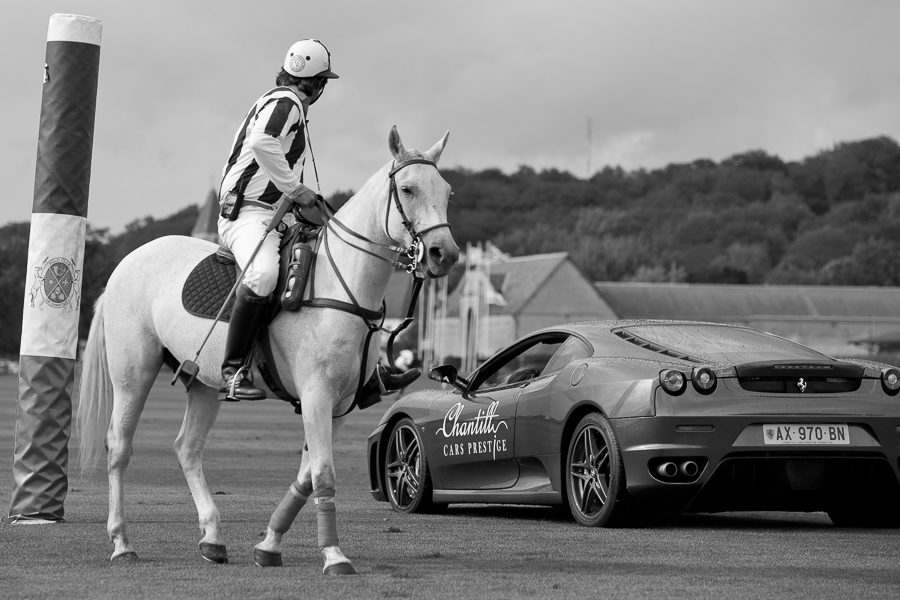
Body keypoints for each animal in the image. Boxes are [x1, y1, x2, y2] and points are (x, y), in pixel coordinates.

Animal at [74, 125, 460, 572]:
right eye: (409, 188)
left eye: (447, 191)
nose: (444, 254)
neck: (341, 284)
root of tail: (124, 264)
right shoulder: (316, 395)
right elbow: (323, 474)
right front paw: (334, 556)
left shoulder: (340, 404)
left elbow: (308, 476)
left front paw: (269, 545)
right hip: (133, 372)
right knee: (119, 446)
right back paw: (122, 543)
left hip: (203, 383)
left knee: (186, 447)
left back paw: (212, 537)